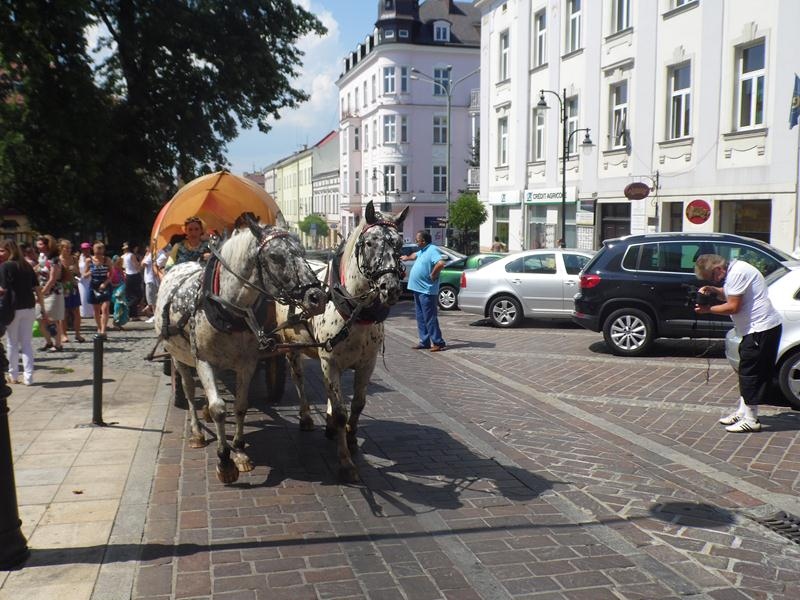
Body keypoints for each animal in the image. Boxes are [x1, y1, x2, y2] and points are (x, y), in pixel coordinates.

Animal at [155, 216, 327, 484]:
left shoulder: (247, 362)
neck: (227, 308)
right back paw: (196, 432)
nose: (317, 297)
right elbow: (218, 408)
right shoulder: (203, 361)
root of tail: (179, 267)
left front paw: (239, 451)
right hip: (178, 356)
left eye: (302, 251)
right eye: (275, 256)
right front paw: (225, 460)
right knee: (189, 390)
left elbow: (240, 405)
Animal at [277, 201, 408, 483]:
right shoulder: (330, 361)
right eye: (369, 243)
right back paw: (306, 416)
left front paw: (350, 436)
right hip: (291, 348)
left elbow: (356, 405)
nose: (391, 288)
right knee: (299, 379)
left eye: (400, 243)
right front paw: (346, 462)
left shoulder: (366, 364)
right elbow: (340, 412)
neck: (355, 311)